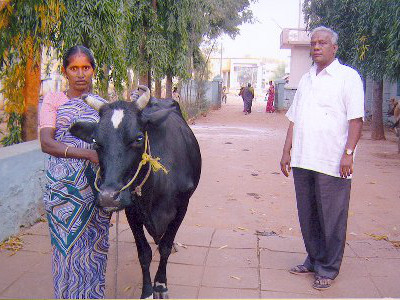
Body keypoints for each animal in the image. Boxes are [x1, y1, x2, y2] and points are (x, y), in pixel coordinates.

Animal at [69, 86, 203, 298]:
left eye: (139, 138)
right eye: (96, 142)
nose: (108, 197)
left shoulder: (183, 206)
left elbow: (165, 248)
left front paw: (161, 285)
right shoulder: (132, 210)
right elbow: (144, 253)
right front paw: (147, 291)